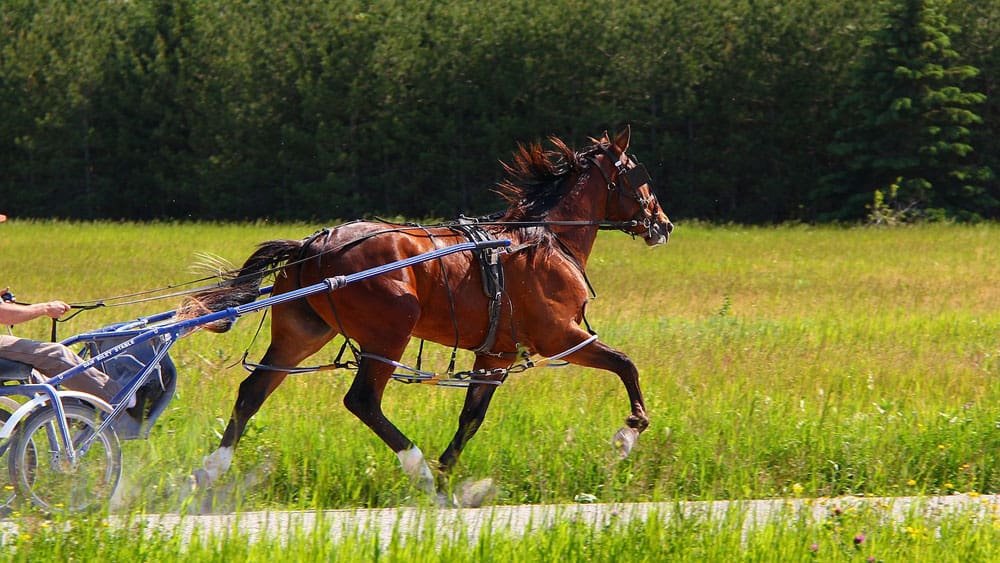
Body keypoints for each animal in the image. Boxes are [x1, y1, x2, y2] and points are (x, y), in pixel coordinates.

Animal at [186, 125, 672, 504]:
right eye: (640, 174)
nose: (664, 224)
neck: (544, 240)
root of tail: (312, 245)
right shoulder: (560, 337)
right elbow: (626, 365)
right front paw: (628, 434)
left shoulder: (496, 355)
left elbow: (471, 418)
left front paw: (445, 478)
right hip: (389, 333)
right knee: (362, 401)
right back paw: (416, 468)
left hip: (303, 332)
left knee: (253, 391)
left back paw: (209, 473)